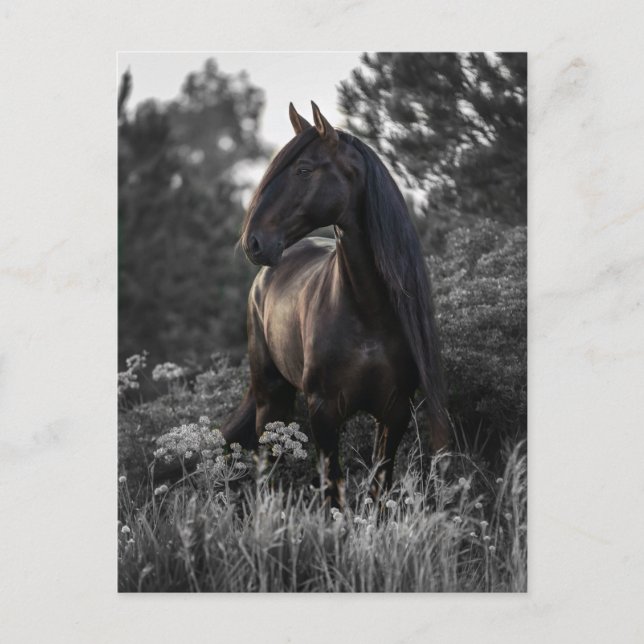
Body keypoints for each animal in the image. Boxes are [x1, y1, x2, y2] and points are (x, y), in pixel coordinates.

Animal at [222, 101, 449, 507]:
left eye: (303, 169)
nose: (254, 243)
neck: (368, 312)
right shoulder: (324, 411)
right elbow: (333, 491)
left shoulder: (394, 412)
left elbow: (378, 488)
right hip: (270, 396)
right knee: (268, 467)